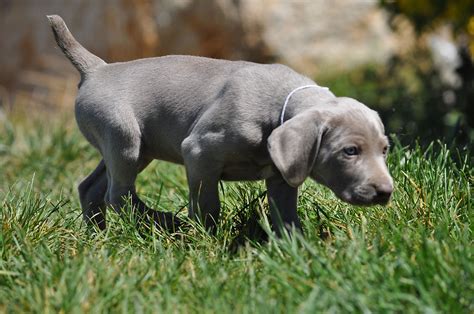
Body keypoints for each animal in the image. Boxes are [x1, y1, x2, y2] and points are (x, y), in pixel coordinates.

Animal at [47, 15, 392, 234]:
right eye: (350, 151)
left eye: (385, 150)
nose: (385, 192)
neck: (278, 103)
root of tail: (97, 69)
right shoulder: (199, 152)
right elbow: (208, 204)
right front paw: (208, 238)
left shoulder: (282, 175)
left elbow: (286, 215)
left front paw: (295, 247)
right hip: (124, 138)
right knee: (118, 194)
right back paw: (167, 224)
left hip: (134, 148)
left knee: (92, 188)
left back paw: (98, 237)